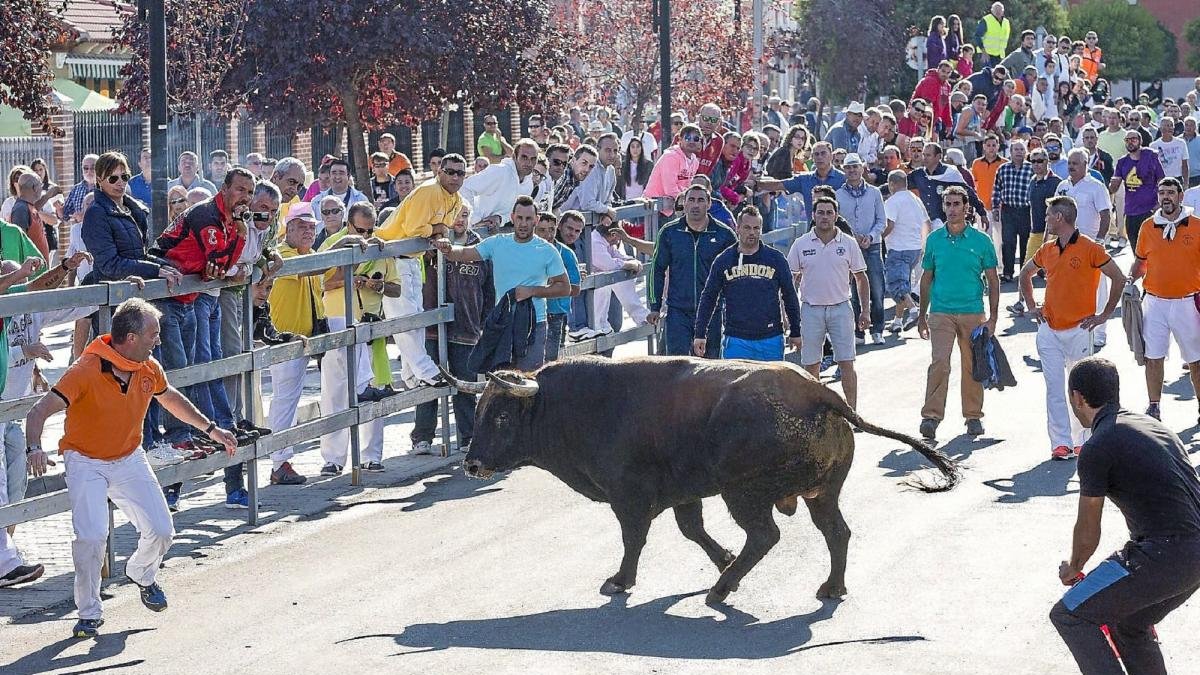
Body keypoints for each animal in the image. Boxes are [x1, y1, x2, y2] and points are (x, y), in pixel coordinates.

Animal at [446, 355, 960, 600]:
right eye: (481, 411)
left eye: (501, 417)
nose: (471, 464)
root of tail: (819, 392)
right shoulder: (682, 492)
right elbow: (692, 529)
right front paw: (720, 557)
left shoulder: (629, 497)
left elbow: (634, 538)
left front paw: (621, 579)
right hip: (821, 493)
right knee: (836, 532)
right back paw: (828, 587)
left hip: (744, 495)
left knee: (766, 535)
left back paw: (723, 588)